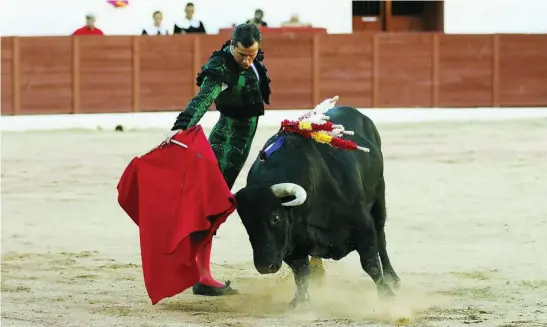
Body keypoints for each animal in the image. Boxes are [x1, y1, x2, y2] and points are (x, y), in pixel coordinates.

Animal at [235, 107, 402, 308]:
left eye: (275, 217)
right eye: (246, 223)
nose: (264, 266)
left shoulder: (363, 226)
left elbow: (371, 264)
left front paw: (387, 296)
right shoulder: (289, 245)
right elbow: (301, 274)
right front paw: (299, 303)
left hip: (379, 198)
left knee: (381, 240)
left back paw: (393, 278)